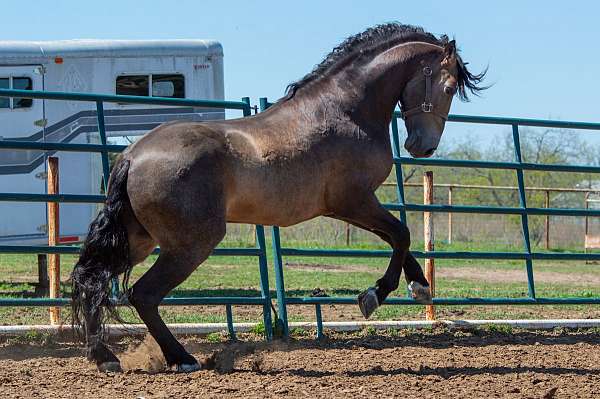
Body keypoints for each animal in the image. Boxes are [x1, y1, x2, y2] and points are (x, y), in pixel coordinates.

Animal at [70, 23, 486, 374]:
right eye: (449, 88)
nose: (422, 147)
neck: (345, 110)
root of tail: (133, 155)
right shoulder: (353, 201)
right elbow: (401, 233)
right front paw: (373, 295)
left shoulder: (346, 207)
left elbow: (398, 238)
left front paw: (419, 285)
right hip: (191, 243)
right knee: (142, 293)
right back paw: (181, 358)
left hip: (139, 240)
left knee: (94, 280)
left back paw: (105, 358)